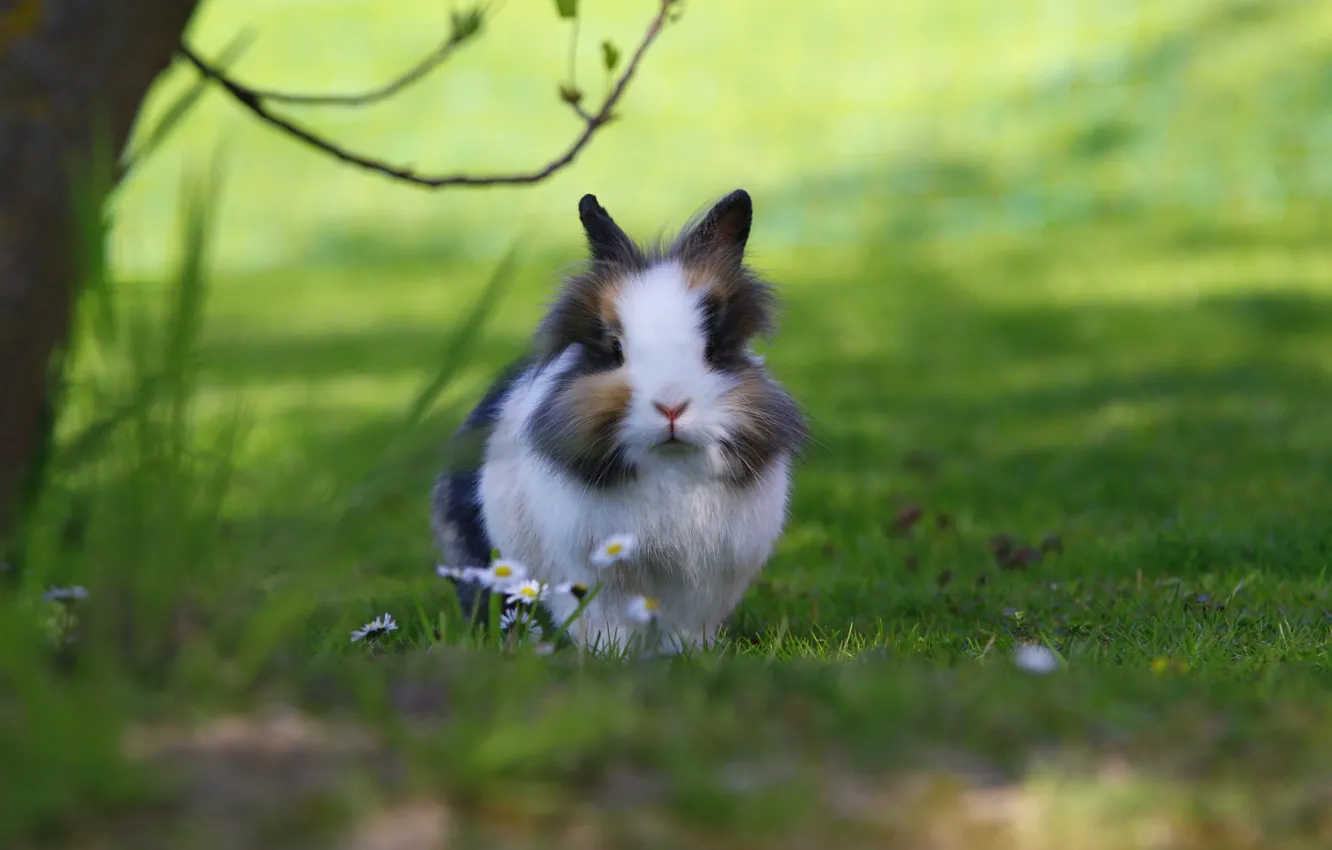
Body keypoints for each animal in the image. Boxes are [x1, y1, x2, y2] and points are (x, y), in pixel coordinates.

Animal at [432, 189, 807, 653]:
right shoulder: (591, 576)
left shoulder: (707, 586)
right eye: (614, 350)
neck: (670, 469)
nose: (671, 406)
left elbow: (687, 630)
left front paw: (689, 658)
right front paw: (610, 658)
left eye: (713, 348)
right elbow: (604, 624)